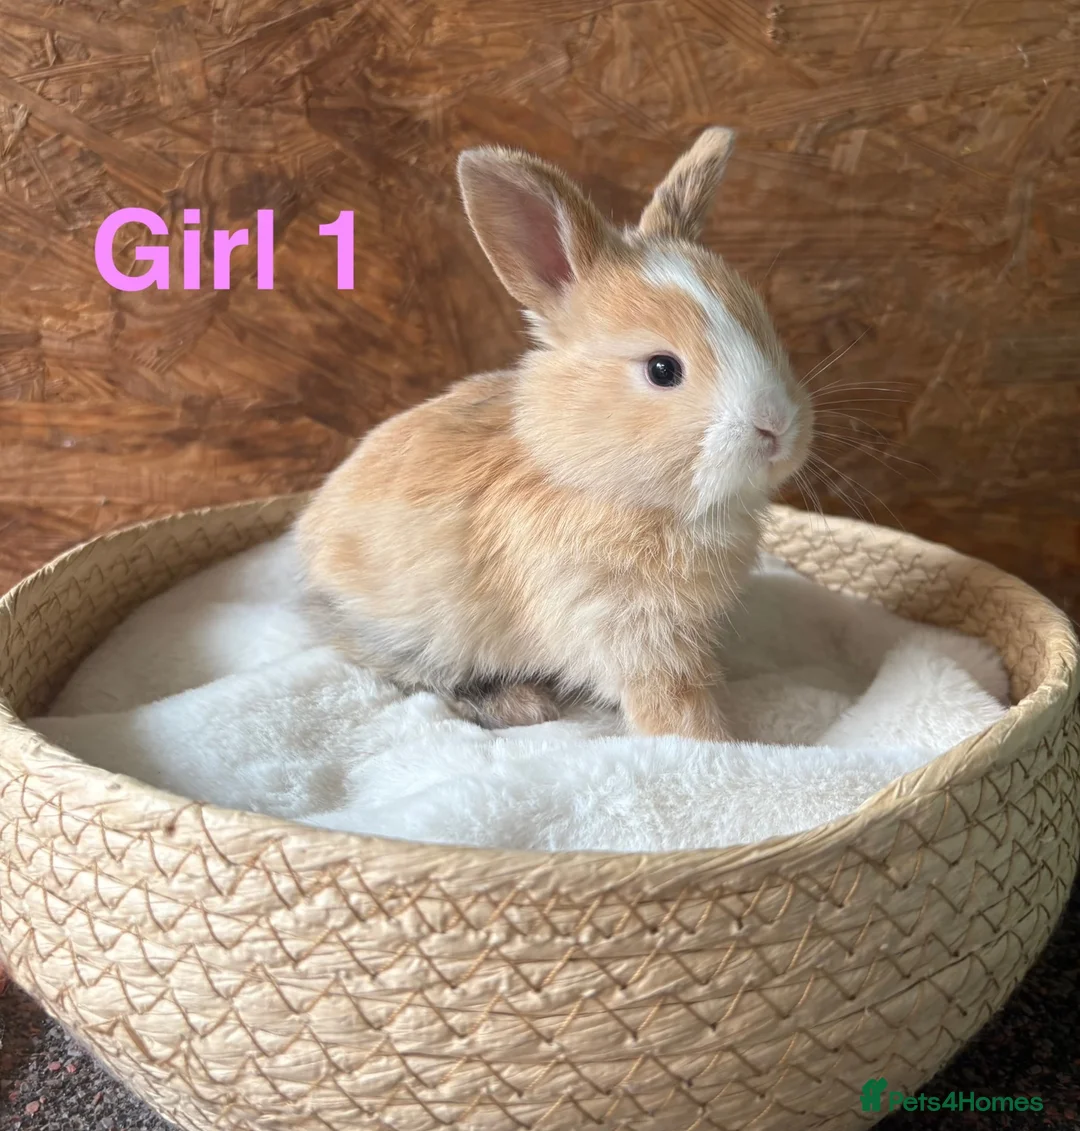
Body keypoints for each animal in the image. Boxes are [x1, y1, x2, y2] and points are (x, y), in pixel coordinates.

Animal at [296, 127, 813, 740]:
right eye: (663, 369)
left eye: (767, 329)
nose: (777, 428)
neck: (583, 476)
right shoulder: (627, 627)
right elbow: (670, 699)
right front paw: (712, 743)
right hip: (418, 633)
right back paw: (520, 704)